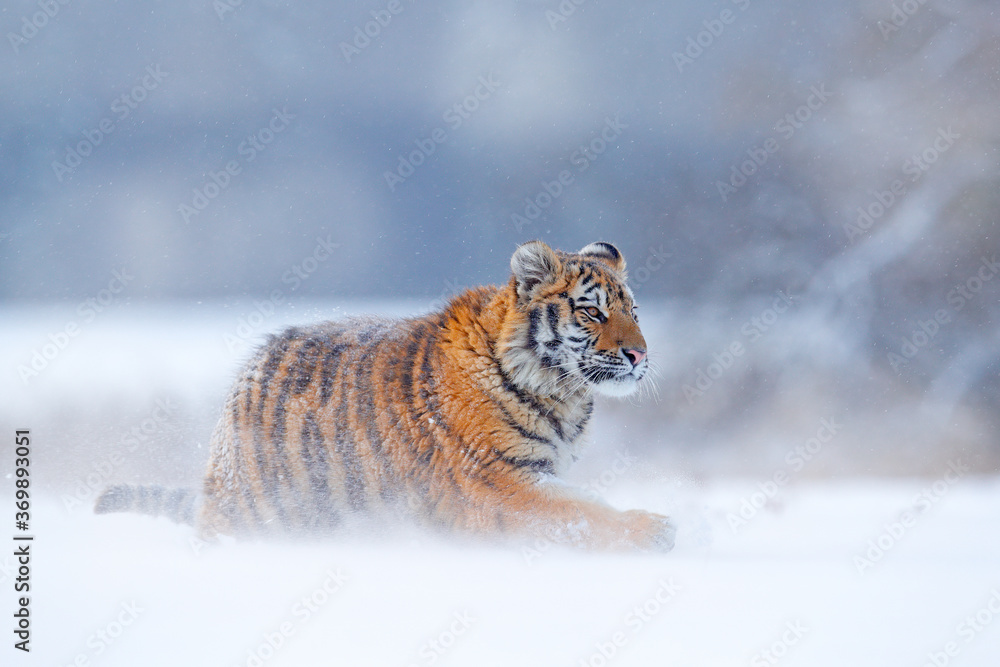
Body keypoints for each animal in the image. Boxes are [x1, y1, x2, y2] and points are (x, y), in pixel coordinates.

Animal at [97, 240, 676, 552]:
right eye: (592, 311)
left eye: (634, 312)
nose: (640, 354)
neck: (562, 394)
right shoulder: (497, 480)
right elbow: (581, 512)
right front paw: (658, 530)